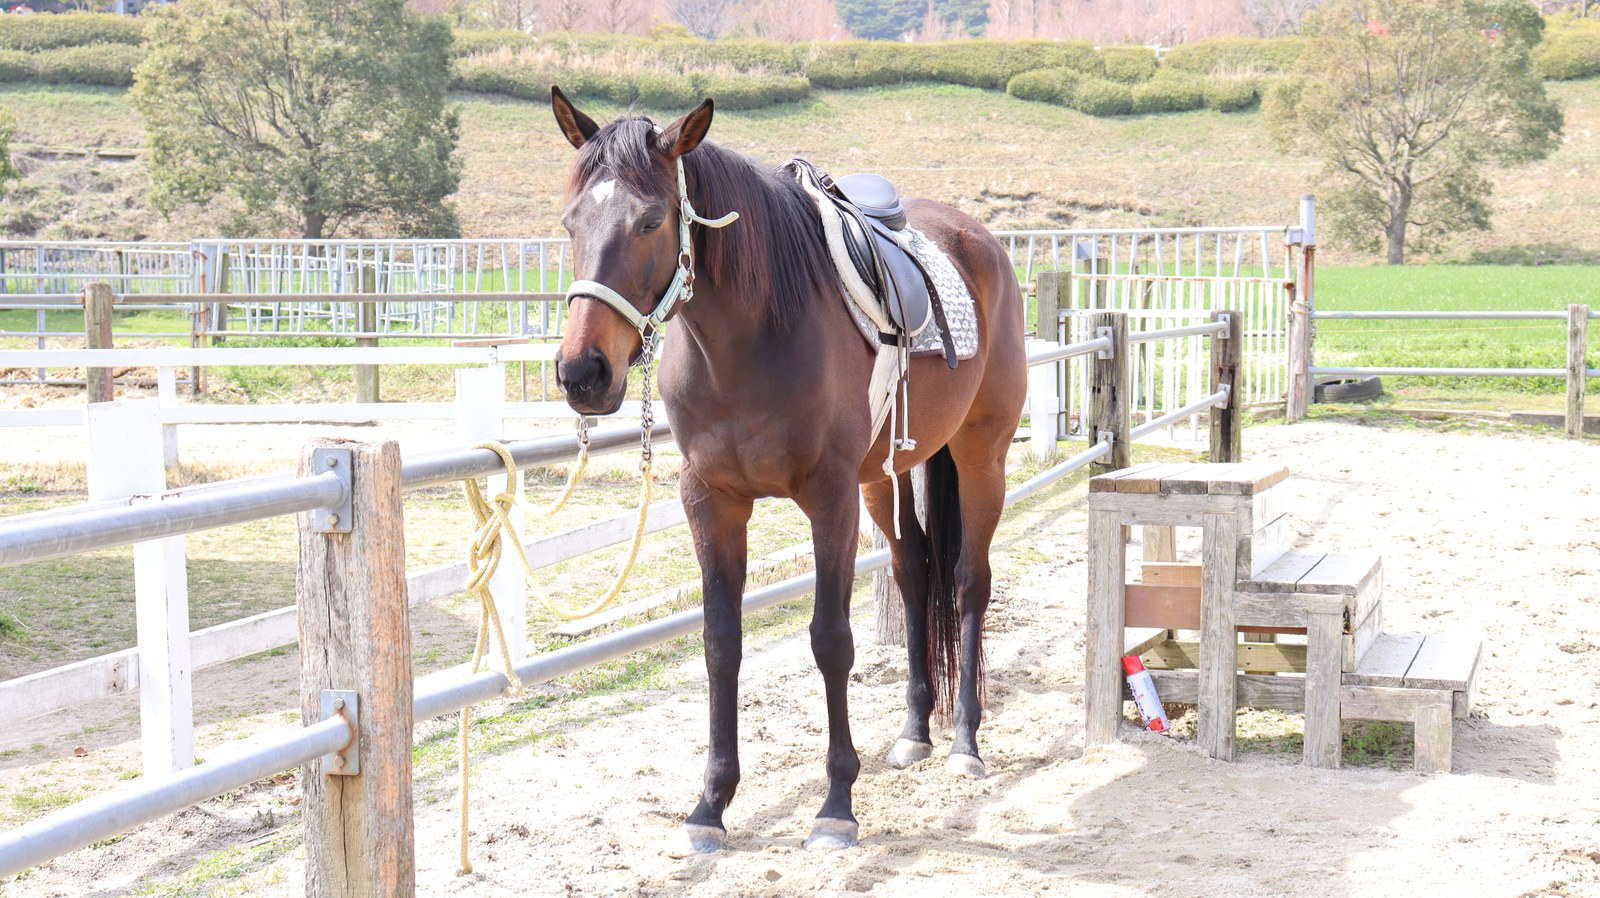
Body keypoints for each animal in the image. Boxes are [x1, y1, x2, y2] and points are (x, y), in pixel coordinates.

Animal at [547, 86, 1027, 853]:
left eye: (651, 220)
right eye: (571, 221)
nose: (582, 373)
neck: (752, 336)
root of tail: (977, 240)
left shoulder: (829, 498)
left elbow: (831, 641)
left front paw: (836, 803)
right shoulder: (710, 500)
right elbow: (720, 642)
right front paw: (710, 804)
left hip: (981, 454)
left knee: (967, 581)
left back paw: (964, 743)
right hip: (885, 477)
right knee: (915, 574)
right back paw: (915, 733)